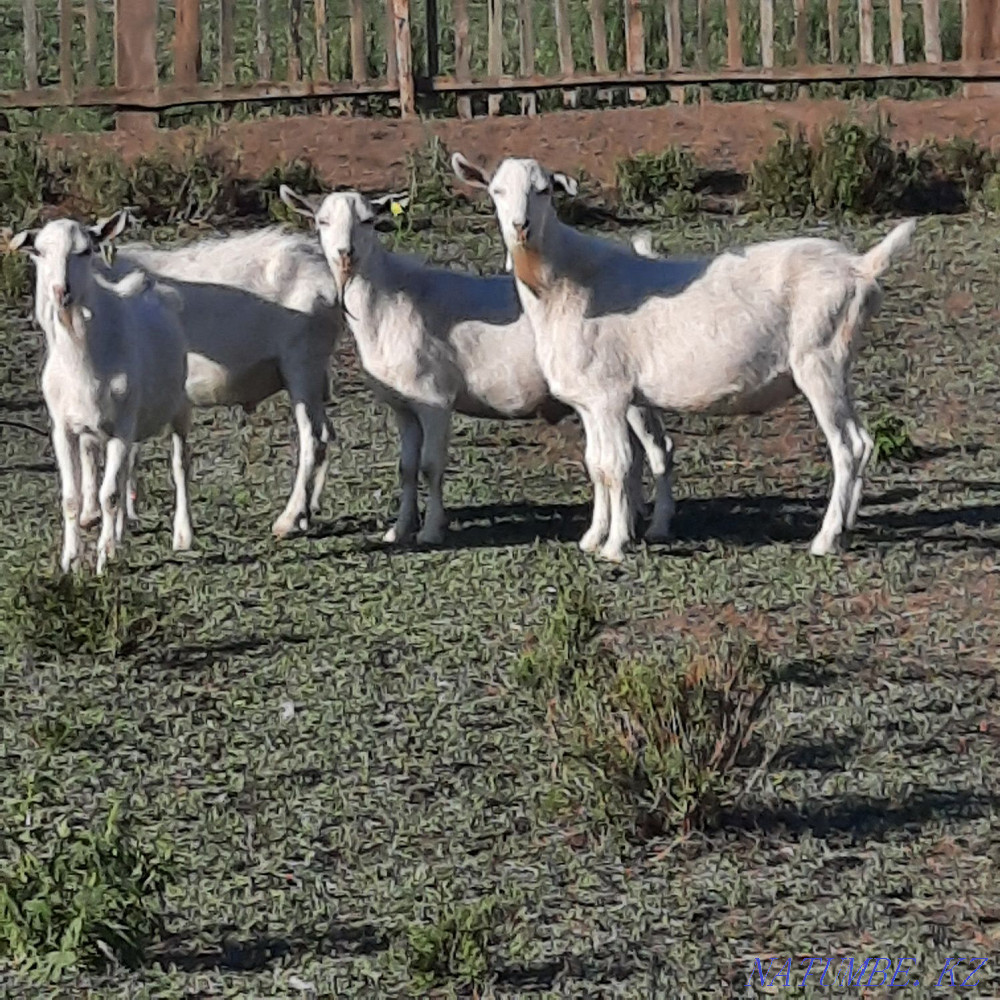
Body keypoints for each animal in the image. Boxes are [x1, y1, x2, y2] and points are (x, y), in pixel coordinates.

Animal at [12, 213, 193, 574]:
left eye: (85, 251)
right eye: (38, 252)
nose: (61, 291)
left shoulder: (121, 427)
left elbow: (108, 495)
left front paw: (104, 557)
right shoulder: (64, 428)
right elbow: (73, 496)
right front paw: (70, 559)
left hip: (178, 405)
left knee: (179, 464)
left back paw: (182, 534)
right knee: (120, 473)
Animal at [91, 224, 343, 538]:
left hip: (302, 364)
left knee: (313, 439)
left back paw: (288, 519)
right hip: (314, 372)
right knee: (327, 434)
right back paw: (306, 514)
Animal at [279, 184, 676, 547]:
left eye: (367, 220)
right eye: (322, 220)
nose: (346, 254)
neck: (389, 302)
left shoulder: (434, 400)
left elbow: (430, 466)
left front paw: (430, 531)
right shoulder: (403, 407)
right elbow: (406, 468)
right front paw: (399, 530)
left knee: (659, 449)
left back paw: (658, 525)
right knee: (637, 453)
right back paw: (635, 517)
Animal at [452, 152, 916, 562]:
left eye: (544, 189)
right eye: (496, 190)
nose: (521, 227)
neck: (567, 286)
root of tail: (861, 267)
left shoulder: (609, 394)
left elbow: (618, 465)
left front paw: (615, 546)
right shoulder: (589, 401)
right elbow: (597, 464)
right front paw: (592, 539)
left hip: (819, 358)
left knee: (848, 446)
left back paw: (825, 538)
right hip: (838, 364)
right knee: (863, 441)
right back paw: (846, 530)